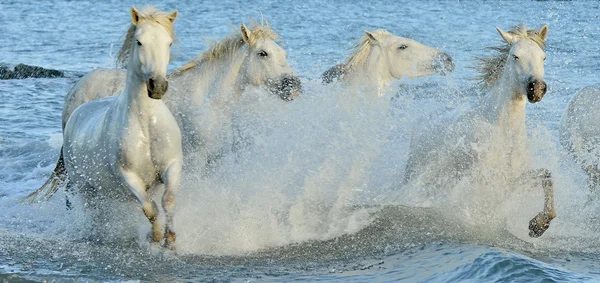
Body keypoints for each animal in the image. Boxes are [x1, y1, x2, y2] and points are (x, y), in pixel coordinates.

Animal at [36, 7, 182, 248]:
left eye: (169, 43)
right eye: (139, 42)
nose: (158, 86)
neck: (146, 123)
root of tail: (74, 114)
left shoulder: (172, 166)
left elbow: (168, 200)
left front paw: (170, 240)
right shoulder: (128, 177)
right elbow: (150, 208)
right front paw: (154, 237)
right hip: (84, 188)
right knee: (91, 212)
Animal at [400, 24, 556, 239]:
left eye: (543, 57)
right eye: (515, 56)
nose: (537, 88)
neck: (504, 132)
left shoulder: (512, 179)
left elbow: (547, 176)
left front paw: (538, 225)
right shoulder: (485, 181)